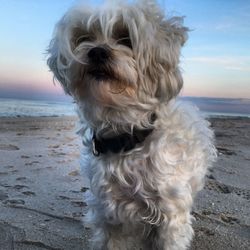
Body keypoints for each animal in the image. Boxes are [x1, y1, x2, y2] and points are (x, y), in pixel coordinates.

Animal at [47, 0, 217, 249]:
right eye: (84, 37)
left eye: (125, 38)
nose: (97, 51)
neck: (127, 139)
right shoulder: (108, 213)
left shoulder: (170, 216)